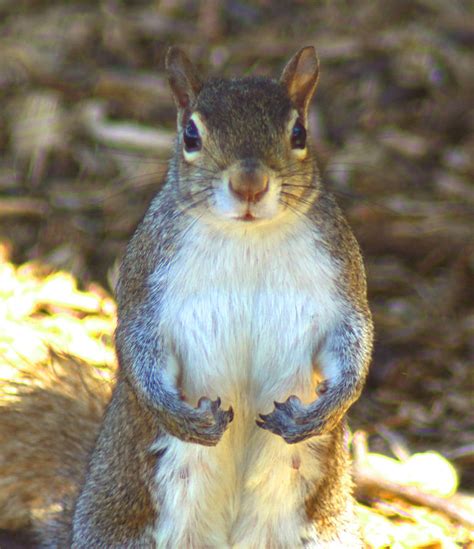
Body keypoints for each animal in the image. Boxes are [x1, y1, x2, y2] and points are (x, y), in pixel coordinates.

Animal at [0, 47, 370, 548]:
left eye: (300, 133)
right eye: (190, 134)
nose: (249, 184)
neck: (247, 238)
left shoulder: (342, 278)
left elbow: (356, 343)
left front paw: (322, 413)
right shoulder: (145, 283)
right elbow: (135, 347)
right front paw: (180, 418)